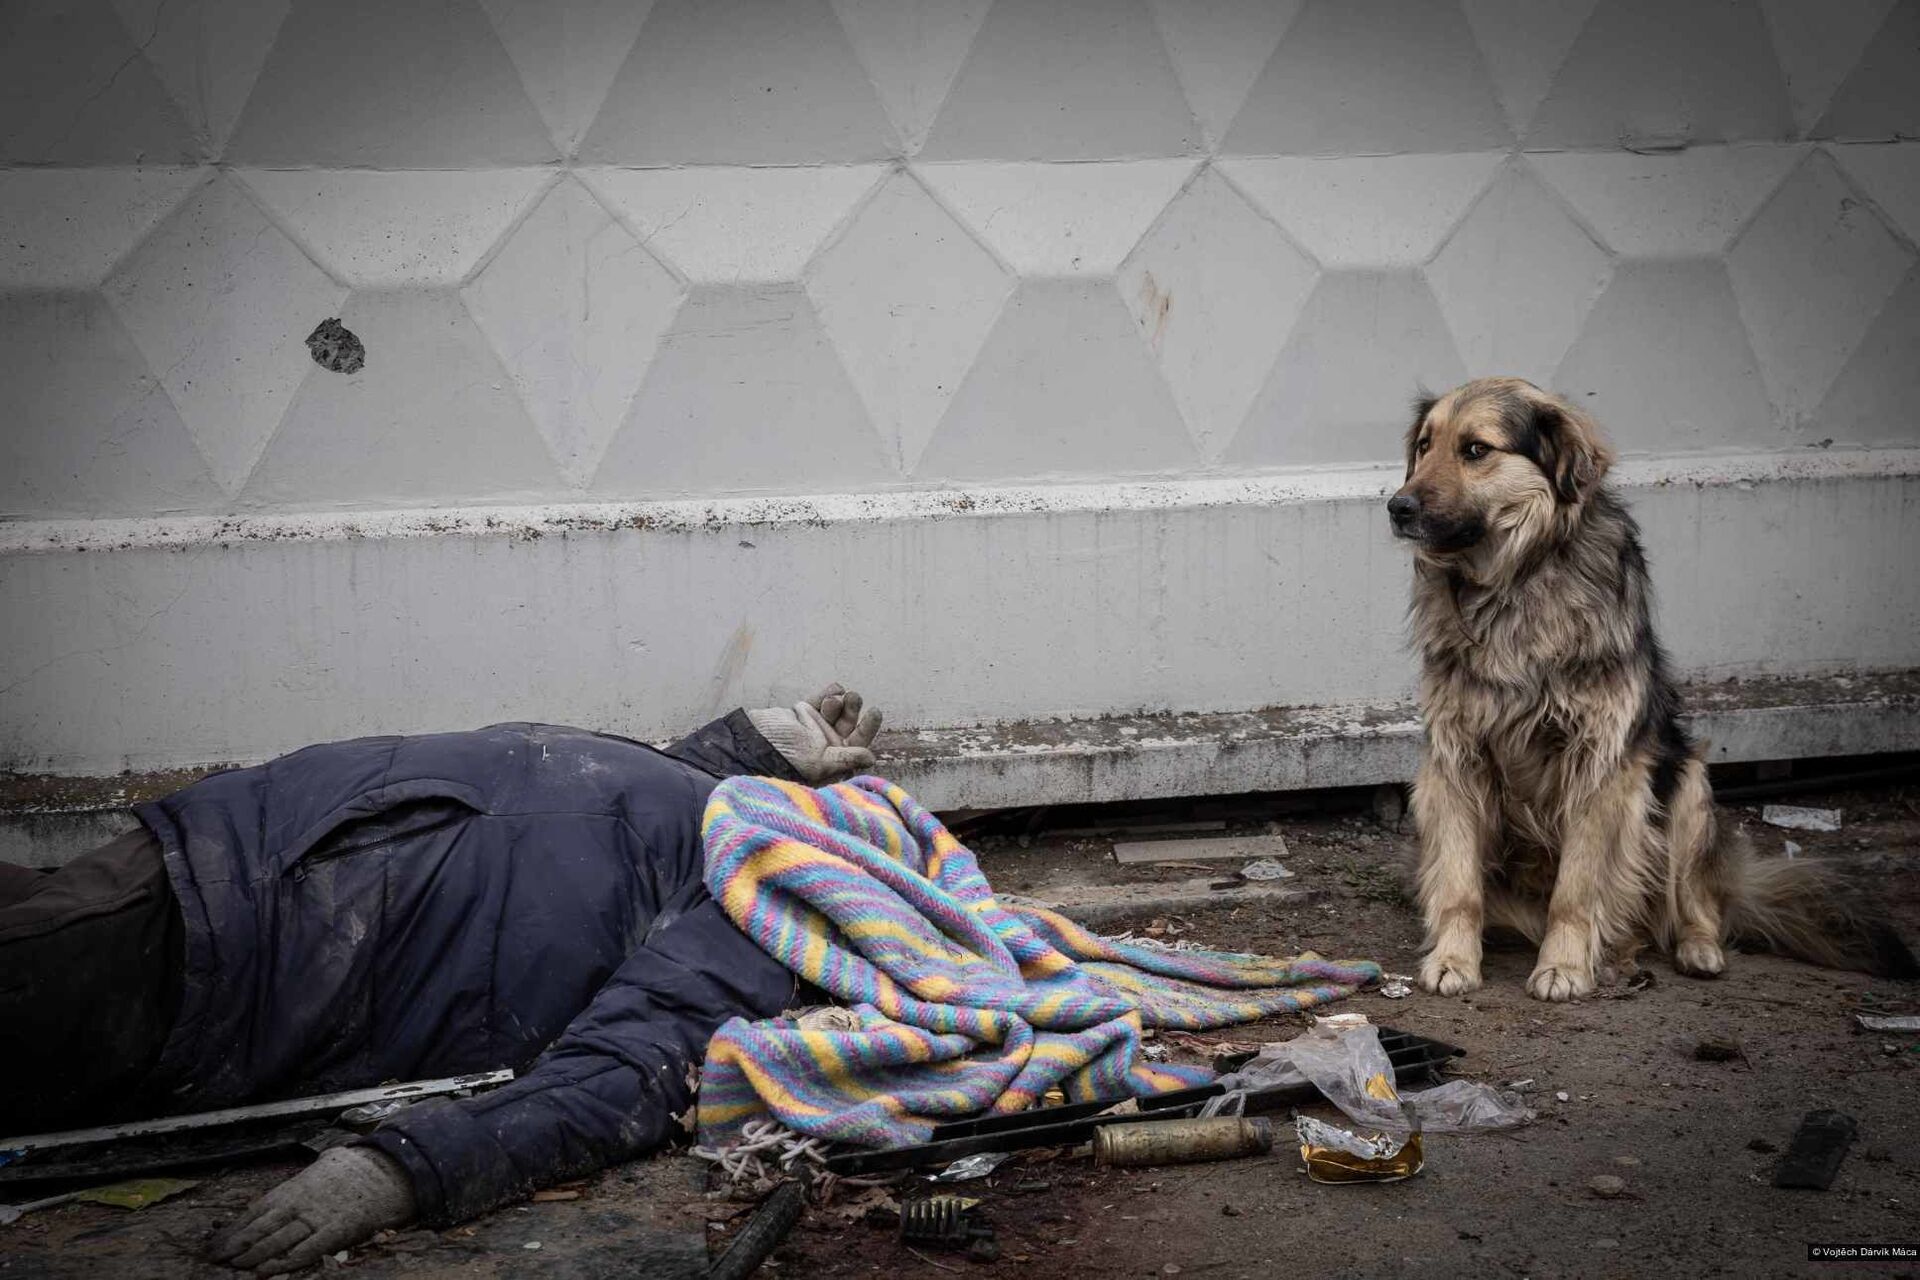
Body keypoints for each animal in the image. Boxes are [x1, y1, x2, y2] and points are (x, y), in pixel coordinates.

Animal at [1390, 378, 1912, 997]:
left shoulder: (1601, 761)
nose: (1397, 507)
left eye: (1476, 449)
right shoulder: (1454, 759)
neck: (1515, 585)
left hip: (1686, 785)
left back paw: (1696, 948)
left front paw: (1563, 966)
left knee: (1697, 899)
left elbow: (1577, 890)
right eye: (1425, 445)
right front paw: (1453, 958)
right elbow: (1458, 882)